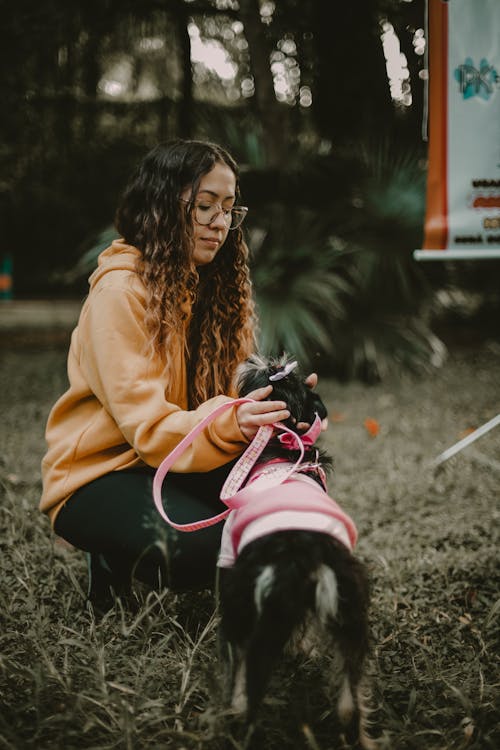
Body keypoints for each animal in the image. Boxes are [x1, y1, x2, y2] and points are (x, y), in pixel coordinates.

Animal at [216, 356, 376, 748]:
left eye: (261, 372)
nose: (254, 358)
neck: (284, 446)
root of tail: (301, 551)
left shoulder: (229, 560)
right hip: (350, 605)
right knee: (351, 699)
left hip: (246, 600)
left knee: (244, 668)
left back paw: (237, 716)